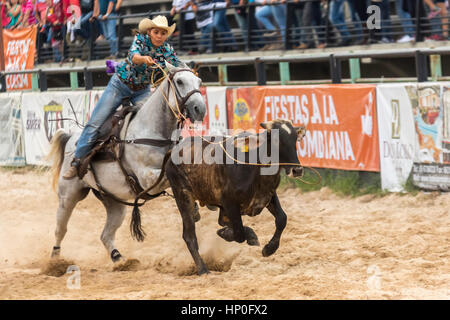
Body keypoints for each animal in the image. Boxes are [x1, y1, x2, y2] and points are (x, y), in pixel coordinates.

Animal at [47, 63, 206, 264]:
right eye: (180, 81)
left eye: (199, 81)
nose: (200, 109)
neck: (152, 131)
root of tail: (70, 138)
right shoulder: (148, 179)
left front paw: (195, 209)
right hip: (68, 196)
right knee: (60, 229)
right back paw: (55, 261)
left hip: (114, 201)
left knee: (105, 235)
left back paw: (119, 259)